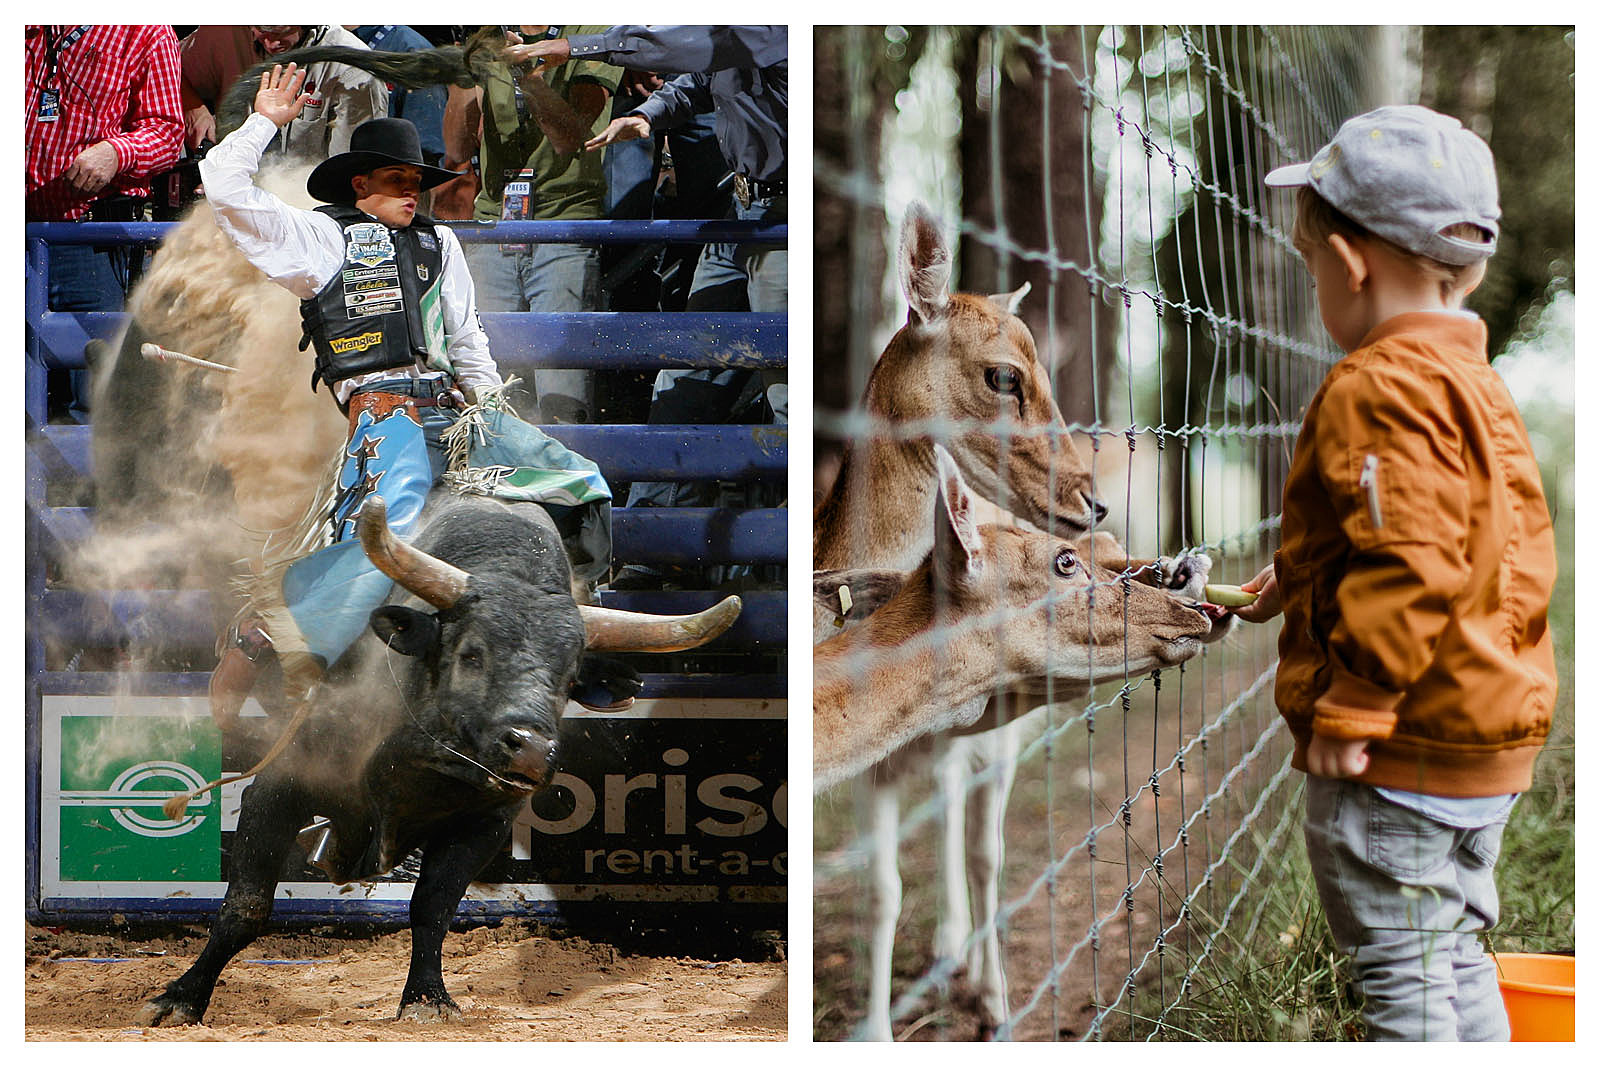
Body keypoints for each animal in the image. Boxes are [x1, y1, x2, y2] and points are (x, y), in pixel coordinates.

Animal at [137, 495, 736, 1023]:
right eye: (471, 654)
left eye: (570, 679)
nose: (531, 748)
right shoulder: (280, 786)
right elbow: (246, 906)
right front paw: (180, 998)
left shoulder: (484, 824)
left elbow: (434, 906)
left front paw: (426, 999)